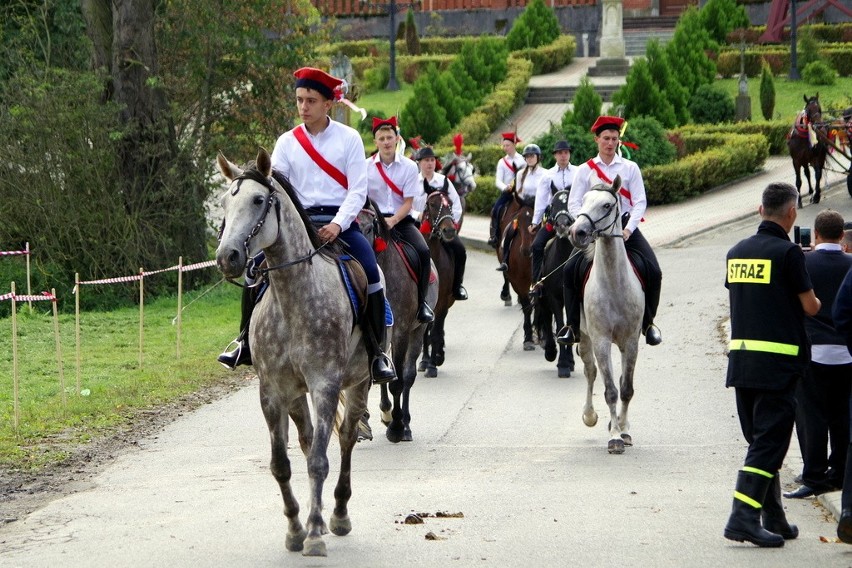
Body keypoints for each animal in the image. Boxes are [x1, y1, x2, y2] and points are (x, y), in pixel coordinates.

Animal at [215, 149, 372, 556]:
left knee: (346, 438)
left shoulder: (325, 385)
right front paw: (295, 529)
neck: (293, 298)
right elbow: (281, 464)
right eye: (224, 202)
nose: (227, 257)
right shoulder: (272, 392)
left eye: (258, 200)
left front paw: (315, 533)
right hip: (296, 395)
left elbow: (319, 461)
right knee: (306, 441)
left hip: (360, 382)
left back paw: (339, 515)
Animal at [358, 202, 440, 442]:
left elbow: (399, 381)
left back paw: (404, 424)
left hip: (418, 329)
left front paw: (396, 426)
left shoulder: (401, 330)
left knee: (408, 375)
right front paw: (363, 422)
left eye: (370, 227)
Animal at [568, 175, 644, 454]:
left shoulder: (630, 341)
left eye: (606, 205)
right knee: (591, 373)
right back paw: (590, 415)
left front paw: (623, 430)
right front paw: (614, 438)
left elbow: (626, 388)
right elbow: (610, 390)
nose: (577, 232)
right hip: (585, 337)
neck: (613, 284)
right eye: (583, 201)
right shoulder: (601, 340)